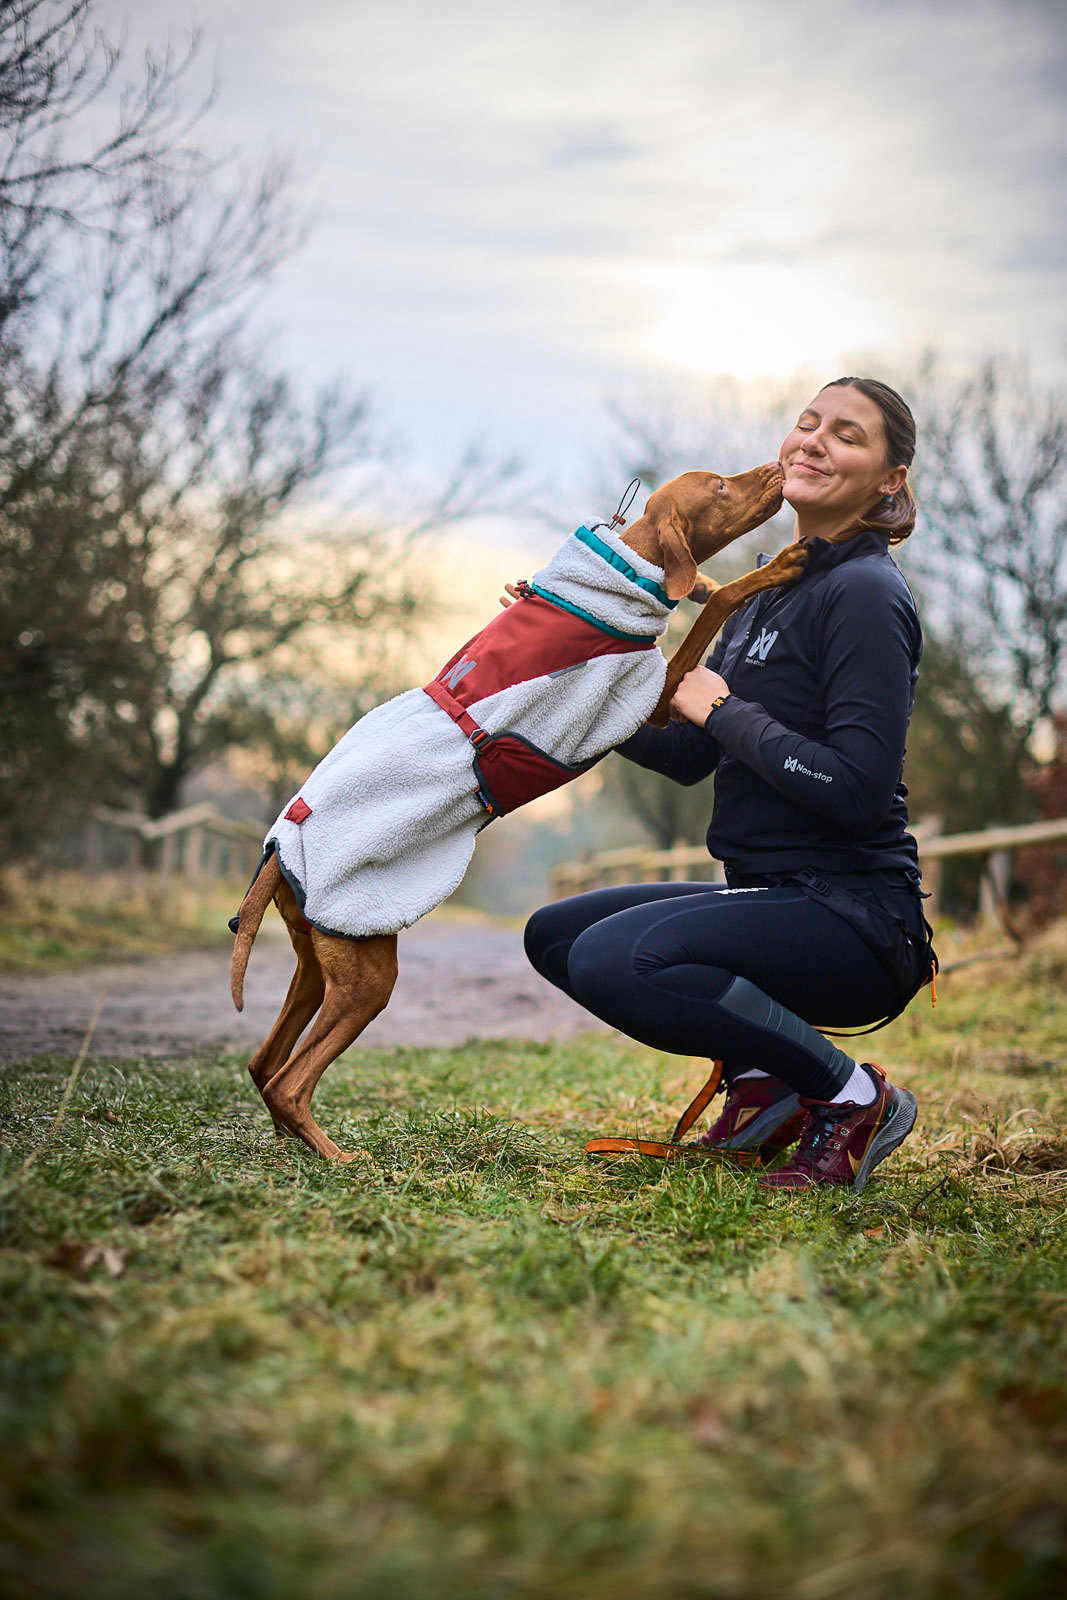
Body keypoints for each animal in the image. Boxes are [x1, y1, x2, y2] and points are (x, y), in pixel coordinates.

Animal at [230, 467, 806, 1164]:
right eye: (720, 487)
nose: (777, 471)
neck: (618, 576)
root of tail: (280, 847)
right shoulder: (653, 698)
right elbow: (720, 606)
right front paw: (776, 565)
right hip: (367, 973)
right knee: (288, 1082)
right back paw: (341, 1157)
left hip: (320, 965)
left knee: (264, 1065)